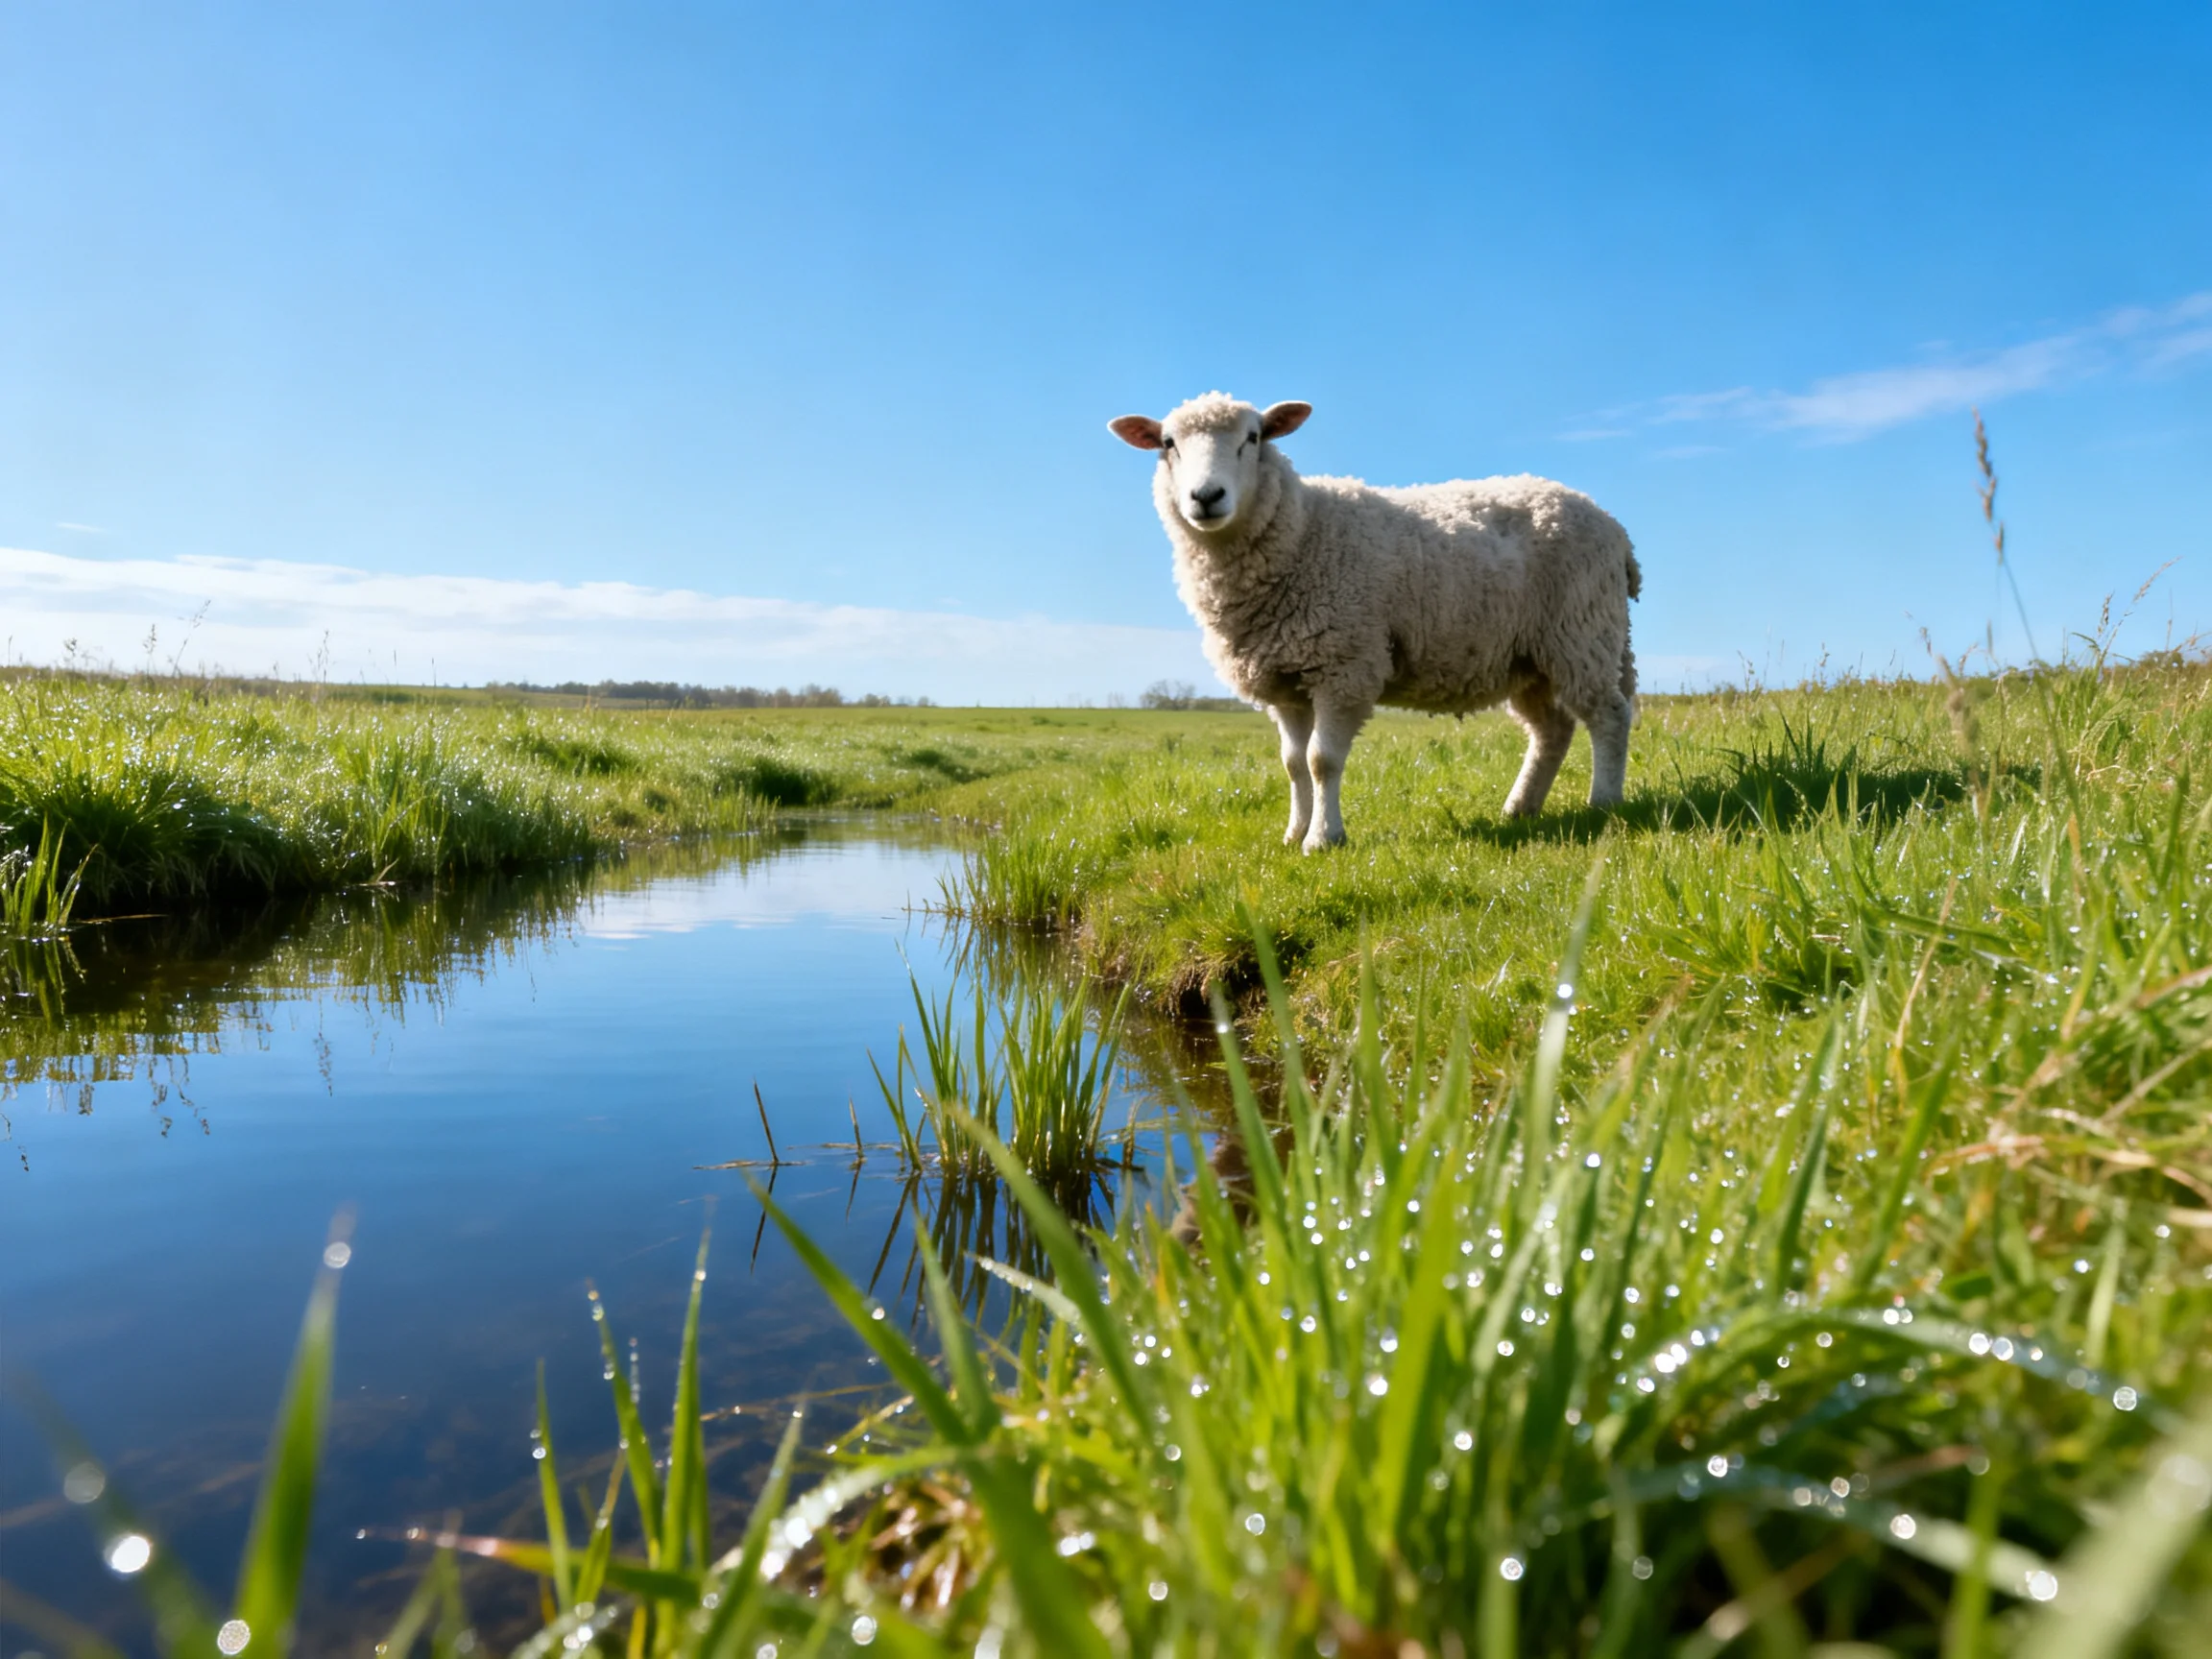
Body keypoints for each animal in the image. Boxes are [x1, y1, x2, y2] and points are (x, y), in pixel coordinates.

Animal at [1108, 392, 1640, 853]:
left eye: (1254, 437)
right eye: (1168, 443)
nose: (1206, 496)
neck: (1303, 532)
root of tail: (1613, 527)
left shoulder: (1344, 665)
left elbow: (1322, 761)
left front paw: (1323, 839)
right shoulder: (1286, 679)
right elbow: (1293, 765)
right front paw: (1293, 834)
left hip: (1583, 631)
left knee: (1609, 715)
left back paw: (1604, 804)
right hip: (1529, 657)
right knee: (1552, 730)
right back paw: (1520, 808)